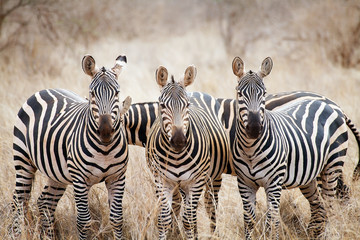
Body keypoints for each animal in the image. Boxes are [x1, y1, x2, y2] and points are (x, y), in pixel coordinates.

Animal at [10, 54, 132, 240]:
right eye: (92, 94)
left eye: (117, 93)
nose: (105, 132)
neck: (104, 151)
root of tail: (44, 90)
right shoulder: (80, 179)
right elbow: (83, 221)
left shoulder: (117, 177)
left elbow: (117, 219)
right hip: (23, 161)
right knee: (19, 201)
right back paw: (17, 234)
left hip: (56, 173)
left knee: (45, 203)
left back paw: (49, 237)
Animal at [146, 65, 232, 238]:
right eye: (162, 105)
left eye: (187, 105)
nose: (179, 140)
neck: (176, 156)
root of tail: (196, 92)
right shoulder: (161, 180)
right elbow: (164, 219)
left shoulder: (196, 181)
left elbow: (188, 220)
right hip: (181, 185)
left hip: (213, 178)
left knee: (210, 206)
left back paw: (213, 234)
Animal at [229, 57, 352, 239]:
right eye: (239, 94)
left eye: (264, 93)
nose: (254, 128)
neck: (251, 150)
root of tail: (330, 103)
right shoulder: (245, 184)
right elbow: (249, 221)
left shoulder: (273, 184)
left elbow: (272, 220)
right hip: (309, 176)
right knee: (319, 205)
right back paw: (313, 234)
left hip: (332, 166)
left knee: (329, 204)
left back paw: (326, 234)